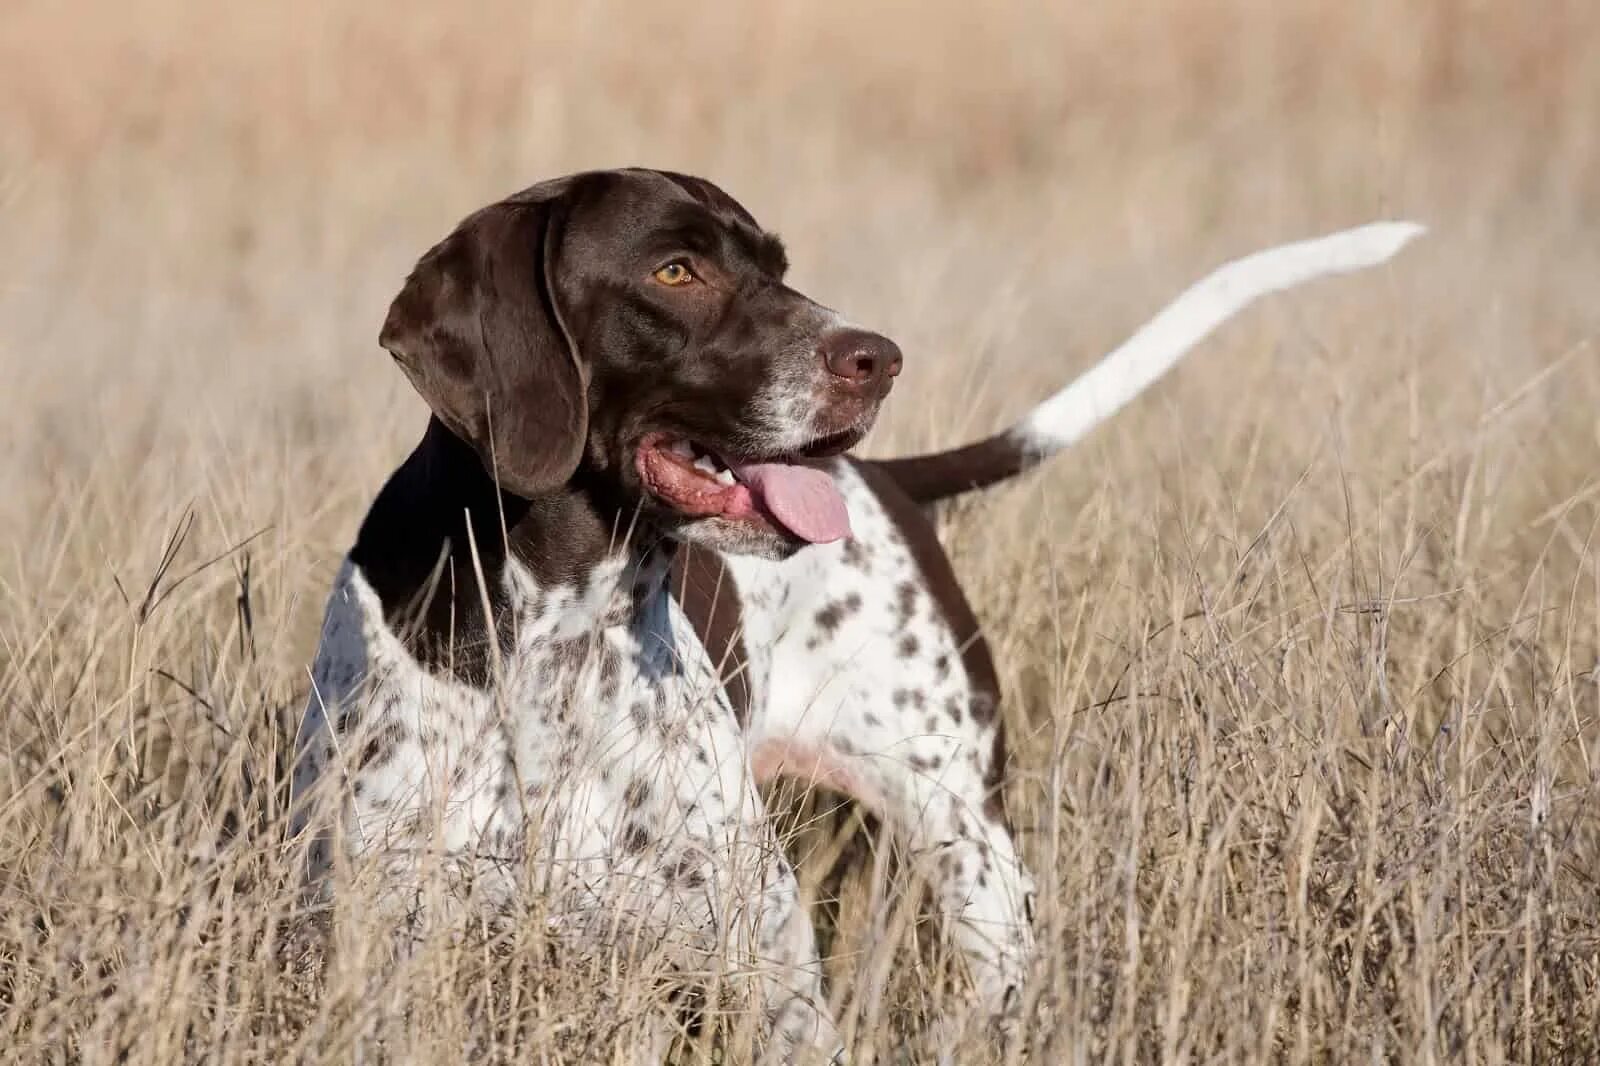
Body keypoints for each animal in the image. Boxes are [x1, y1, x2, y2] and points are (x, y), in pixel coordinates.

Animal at [291, 164, 1427, 1056]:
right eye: (675, 270)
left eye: (779, 265)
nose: (877, 357)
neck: (557, 645)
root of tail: (883, 478)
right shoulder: (379, 949)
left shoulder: (761, 962)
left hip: (972, 856)